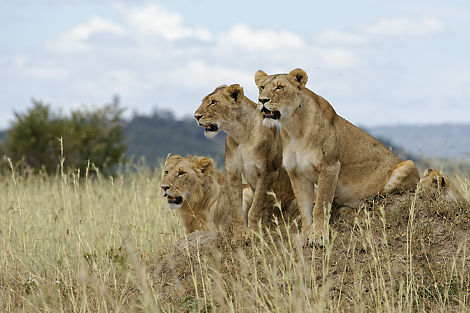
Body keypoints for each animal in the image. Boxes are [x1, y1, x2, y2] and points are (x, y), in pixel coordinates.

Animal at [193, 84, 296, 229]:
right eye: (204, 101)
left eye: (213, 102)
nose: (196, 116)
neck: (240, 134)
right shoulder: (233, 172)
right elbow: (236, 210)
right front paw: (240, 233)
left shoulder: (268, 172)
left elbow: (255, 208)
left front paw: (253, 232)